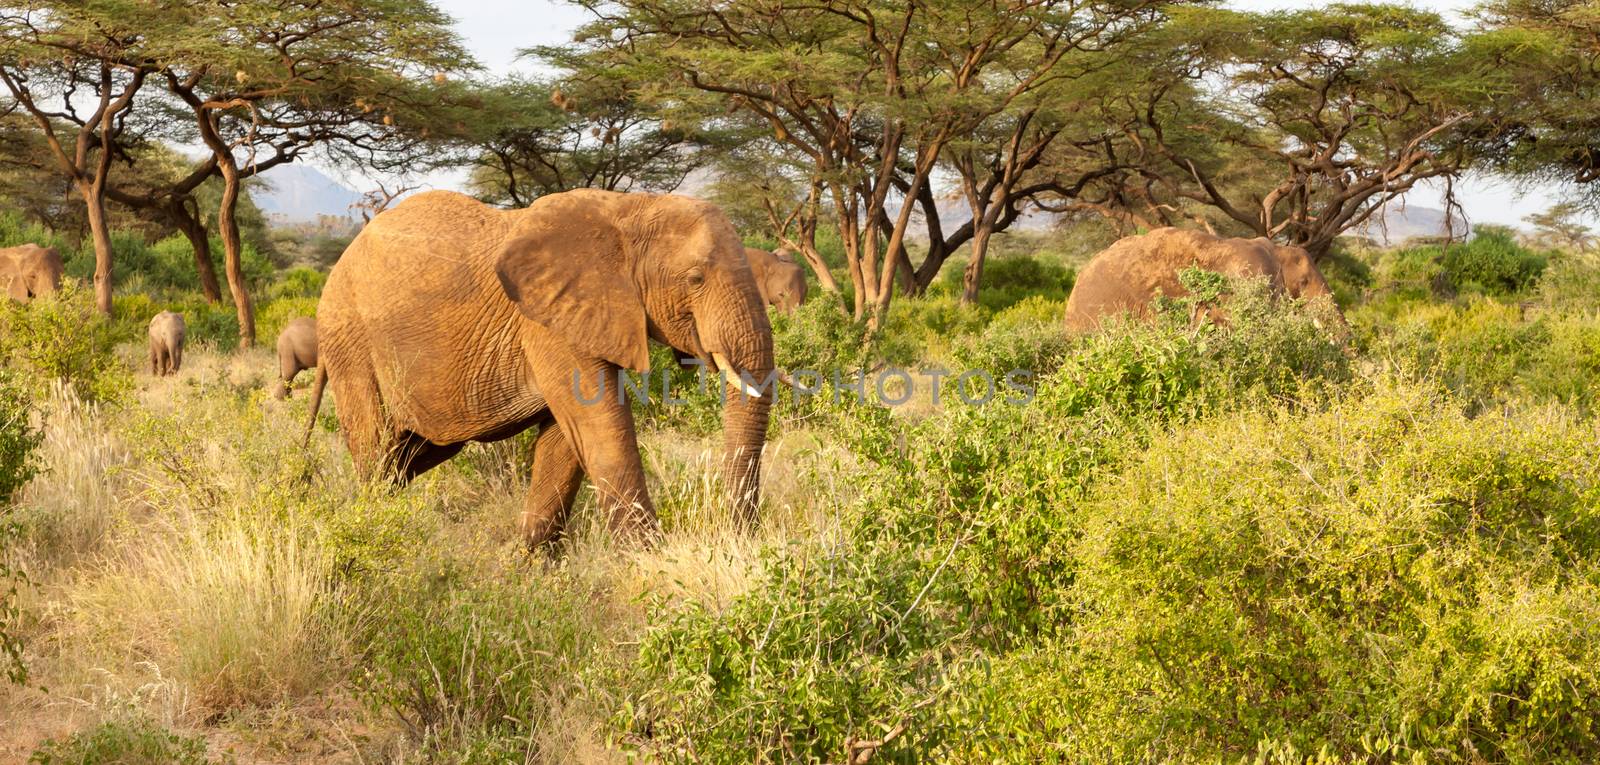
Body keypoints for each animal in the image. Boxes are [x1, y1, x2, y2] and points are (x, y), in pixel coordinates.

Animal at [305, 188, 774, 547]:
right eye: (695, 279)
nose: (738, 539)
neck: (629, 209)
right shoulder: (548, 324)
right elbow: (598, 427)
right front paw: (650, 561)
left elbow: (566, 441)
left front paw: (531, 568)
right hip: (350, 340)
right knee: (377, 451)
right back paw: (376, 529)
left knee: (409, 455)